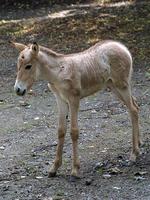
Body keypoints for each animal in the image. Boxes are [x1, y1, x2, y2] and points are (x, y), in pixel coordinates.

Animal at [11, 40, 140, 178]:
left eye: (28, 66)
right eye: (18, 65)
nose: (18, 90)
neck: (58, 73)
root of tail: (121, 46)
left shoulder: (74, 100)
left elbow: (74, 132)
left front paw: (75, 169)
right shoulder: (60, 100)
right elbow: (61, 130)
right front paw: (54, 168)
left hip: (122, 85)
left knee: (133, 110)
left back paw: (134, 153)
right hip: (113, 87)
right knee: (135, 106)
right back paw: (139, 144)